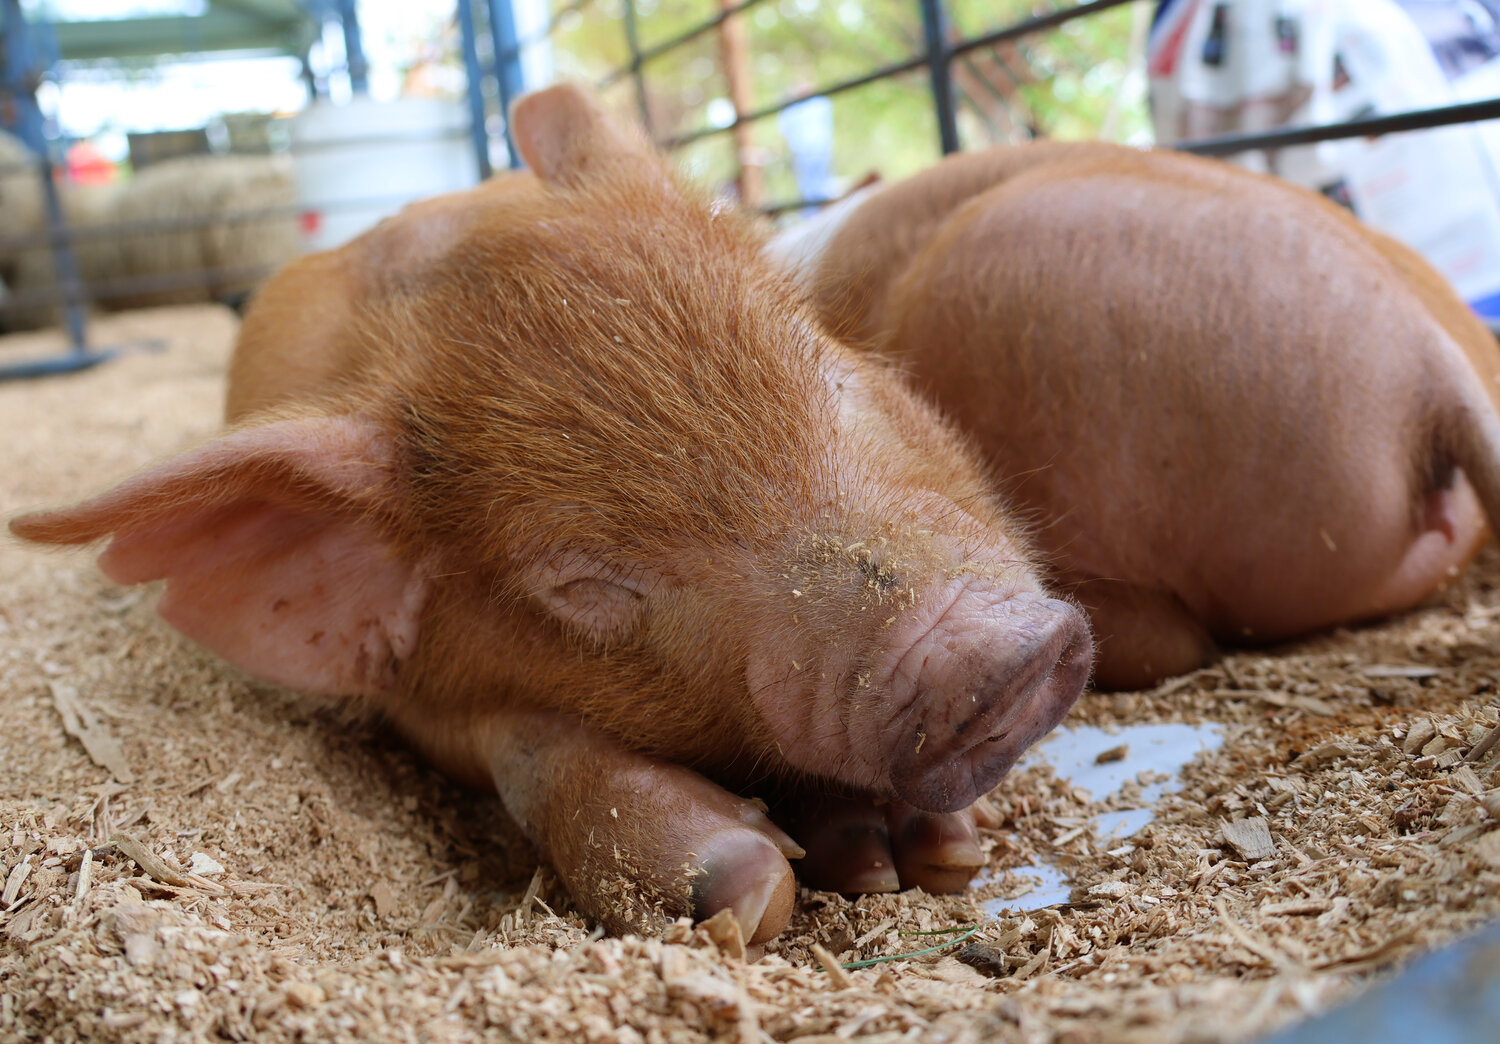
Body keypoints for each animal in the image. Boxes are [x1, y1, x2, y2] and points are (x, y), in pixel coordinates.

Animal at [8, 85, 1092, 942]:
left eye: (830, 370)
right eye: (583, 581)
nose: (986, 655)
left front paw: (920, 859)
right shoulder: (418, 703)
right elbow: (525, 748)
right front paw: (737, 888)